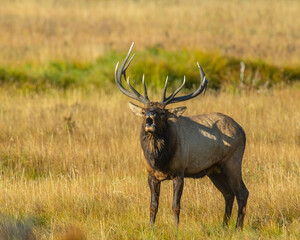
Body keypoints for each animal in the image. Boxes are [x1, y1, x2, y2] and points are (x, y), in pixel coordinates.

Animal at [114, 43, 248, 229]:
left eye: (162, 112)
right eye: (144, 111)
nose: (149, 120)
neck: (159, 160)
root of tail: (242, 130)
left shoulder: (180, 171)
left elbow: (176, 206)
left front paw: (177, 229)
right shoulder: (151, 174)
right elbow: (153, 205)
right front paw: (151, 228)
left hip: (232, 161)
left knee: (242, 192)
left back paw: (237, 228)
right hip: (215, 170)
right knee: (228, 194)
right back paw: (224, 226)